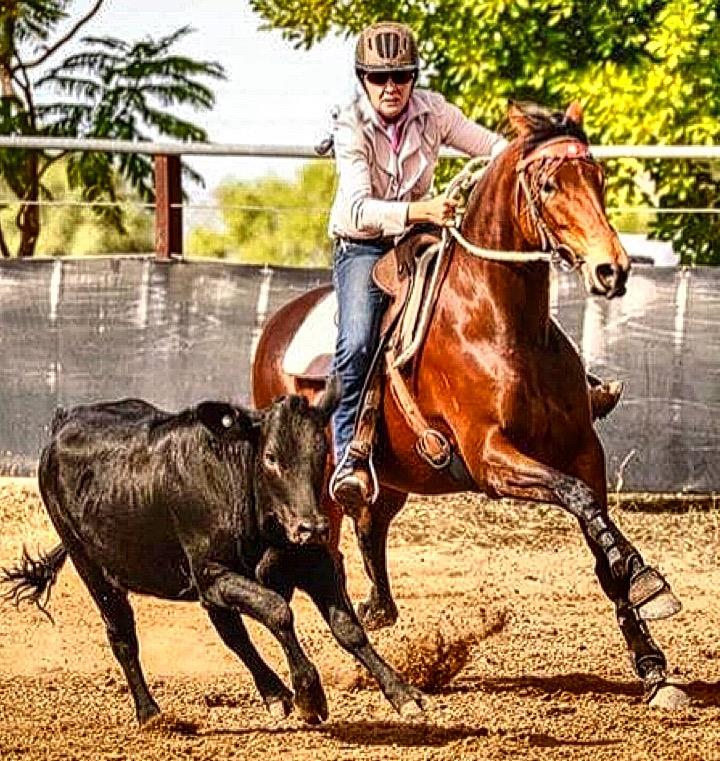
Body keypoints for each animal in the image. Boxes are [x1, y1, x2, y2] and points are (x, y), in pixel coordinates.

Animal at [2, 381, 424, 725]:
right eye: (271, 457)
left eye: (320, 454)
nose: (312, 527)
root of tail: (63, 420)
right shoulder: (213, 573)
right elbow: (278, 610)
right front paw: (310, 694)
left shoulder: (309, 563)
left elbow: (347, 628)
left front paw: (403, 695)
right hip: (92, 566)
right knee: (122, 635)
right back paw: (150, 713)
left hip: (202, 590)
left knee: (232, 634)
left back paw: (274, 694)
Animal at [252, 101, 686, 708]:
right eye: (549, 184)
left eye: (597, 176)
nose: (611, 269)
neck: (503, 323)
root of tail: (272, 332)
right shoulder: (490, 459)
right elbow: (577, 500)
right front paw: (647, 579)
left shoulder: (583, 450)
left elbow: (599, 537)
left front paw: (652, 663)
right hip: (311, 495)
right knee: (318, 559)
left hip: (392, 480)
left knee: (368, 526)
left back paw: (379, 610)